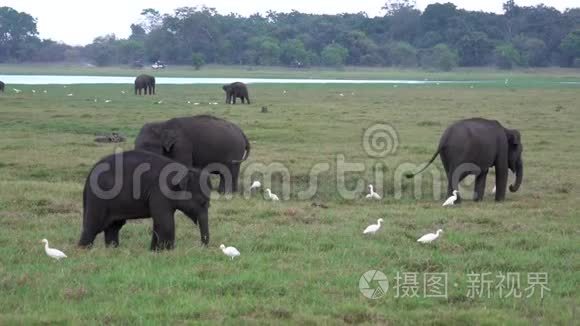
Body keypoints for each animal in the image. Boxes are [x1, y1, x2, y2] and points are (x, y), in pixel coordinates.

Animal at [78, 149, 211, 251]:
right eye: (202, 202)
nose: (202, 247)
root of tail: (88, 177)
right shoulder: (159, 192)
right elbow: (164, 221)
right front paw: (169, 251)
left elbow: (159, 221)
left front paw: (155, 251)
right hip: (99, 198)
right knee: (93, 225)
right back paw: (83, 250)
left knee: (114, 226)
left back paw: (113, 249)